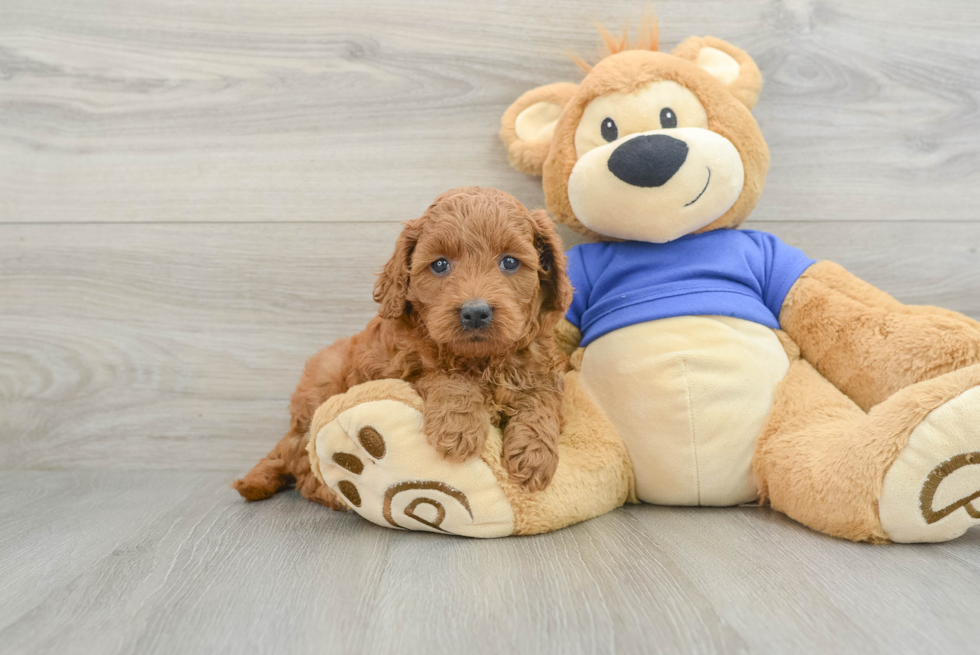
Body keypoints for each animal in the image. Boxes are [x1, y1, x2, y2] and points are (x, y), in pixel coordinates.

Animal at [234, 187, 576, 510]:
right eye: (440, 264)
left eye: (510, 262)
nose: (476, 312)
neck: (481, 359)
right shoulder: (399, 368)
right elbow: (446, 376)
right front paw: (459, 428)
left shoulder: (542, 369)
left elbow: (542, 402)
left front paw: (534, 457)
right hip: (321, 389)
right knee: (305, 465)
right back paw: (336, 495)